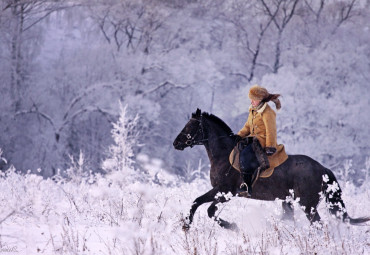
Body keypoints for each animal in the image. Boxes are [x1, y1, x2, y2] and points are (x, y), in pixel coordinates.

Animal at [173, 108, 370, 230]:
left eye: (190, 126)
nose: (176, 143)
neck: (224, 155)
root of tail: (322, 169)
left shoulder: (226, 192)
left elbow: (208, 210)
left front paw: (233, 227)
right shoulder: (218, 191)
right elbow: (196, 202)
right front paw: (186, 226)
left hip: (307, 205)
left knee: (318, 225)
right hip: (290, 201)